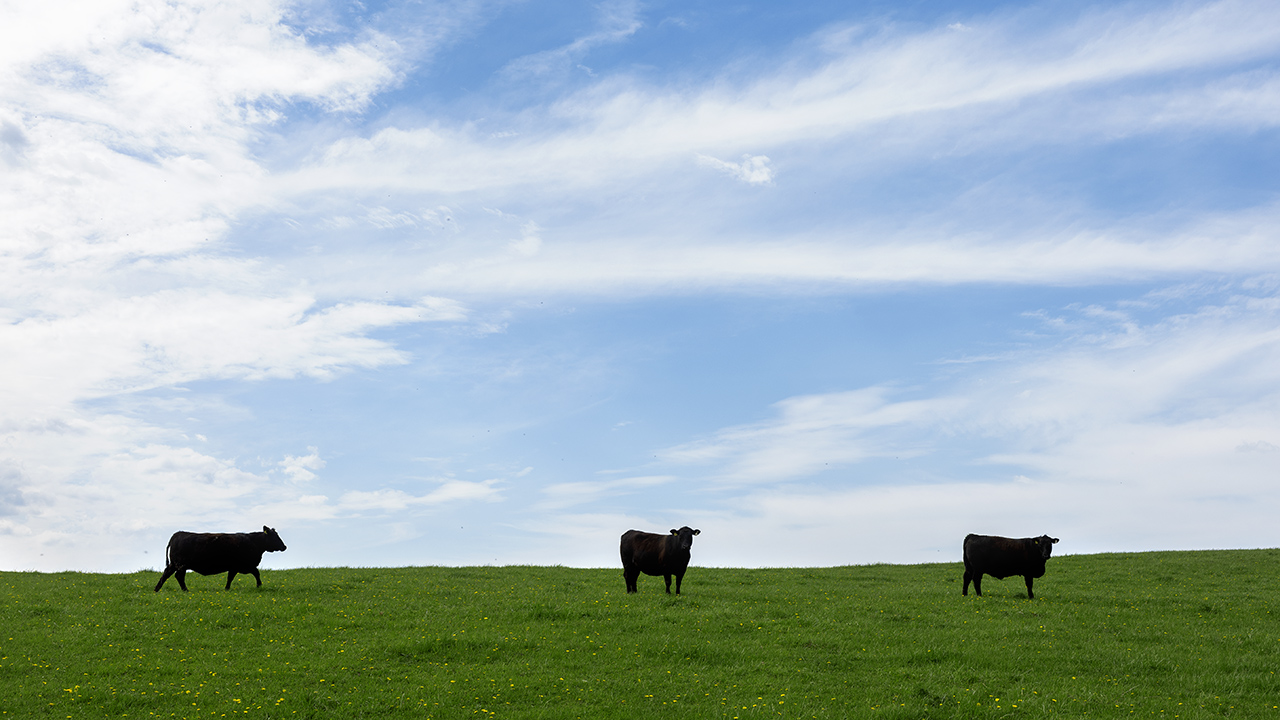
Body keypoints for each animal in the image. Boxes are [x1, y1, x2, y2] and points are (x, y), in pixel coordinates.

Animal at [154, 526, 287, 592]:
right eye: (274, 536)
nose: (284, 546)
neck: (254, 542)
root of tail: (177, 534)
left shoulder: (235, 567)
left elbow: (230, 578)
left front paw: (226, 589)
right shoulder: (243, 566)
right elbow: (256, 573)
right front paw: (259, 586)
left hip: (174, 564)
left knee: (166, 574)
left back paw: (156, 589)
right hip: (181, 565)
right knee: (179, 576)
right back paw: (185, 590)